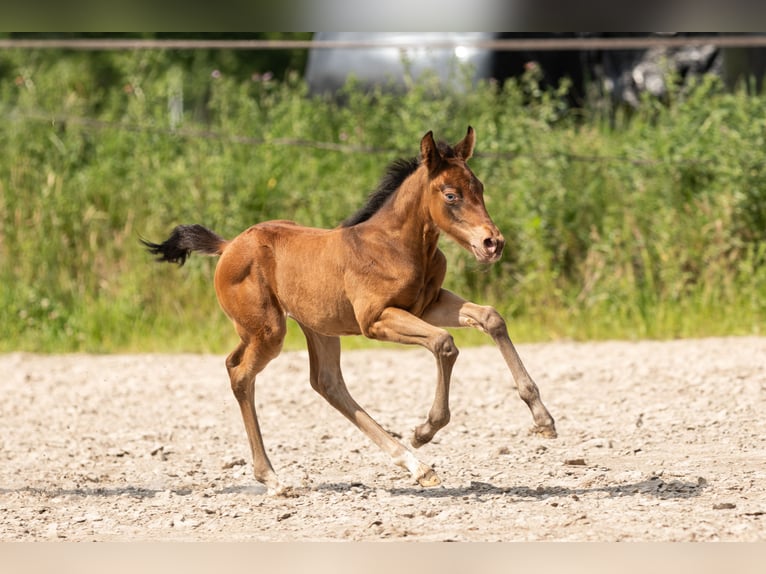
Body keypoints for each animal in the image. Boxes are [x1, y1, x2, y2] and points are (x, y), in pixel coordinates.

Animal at [142, 126, 556, 495]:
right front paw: (425, 430)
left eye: (480, 188)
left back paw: (416, 467)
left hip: (315, 327)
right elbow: (444, 344)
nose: (492, 243)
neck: (397, 245)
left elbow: (491, 318)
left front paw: (543, 419)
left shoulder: (430, 303)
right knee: (242, 374)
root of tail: (228, 246)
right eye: (451, 194)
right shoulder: (376, 319)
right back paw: (274, 480)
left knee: (323, 381)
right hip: (270, 330)